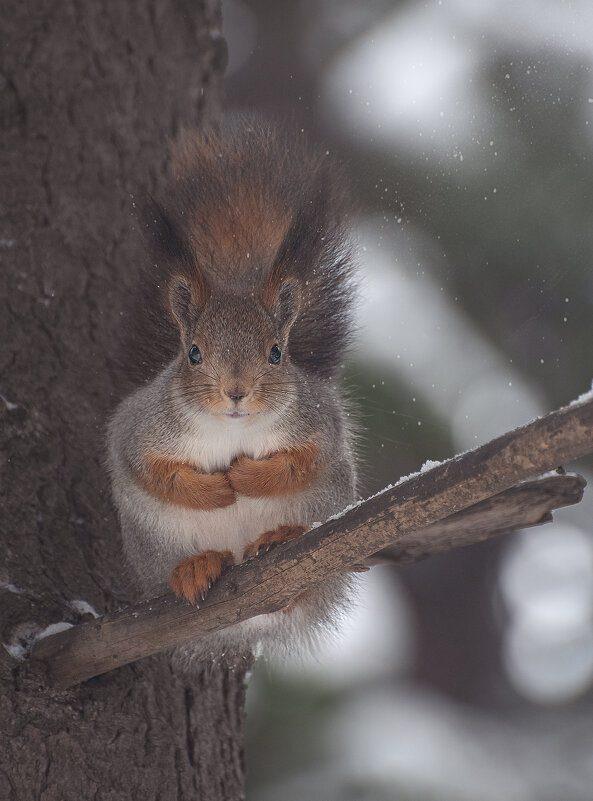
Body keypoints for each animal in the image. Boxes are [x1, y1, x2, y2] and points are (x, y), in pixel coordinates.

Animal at [106, 117, 356, 668]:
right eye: (194, 353)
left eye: (277, 353)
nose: (236, 392)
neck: (231, 430)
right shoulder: (141, 428)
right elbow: (153, 471)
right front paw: (217, 489)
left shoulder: (317, 422)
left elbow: (303, 461)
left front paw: (245, 477)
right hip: (155, 541)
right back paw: (196, 567)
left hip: (322, 514)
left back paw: (281, 540)